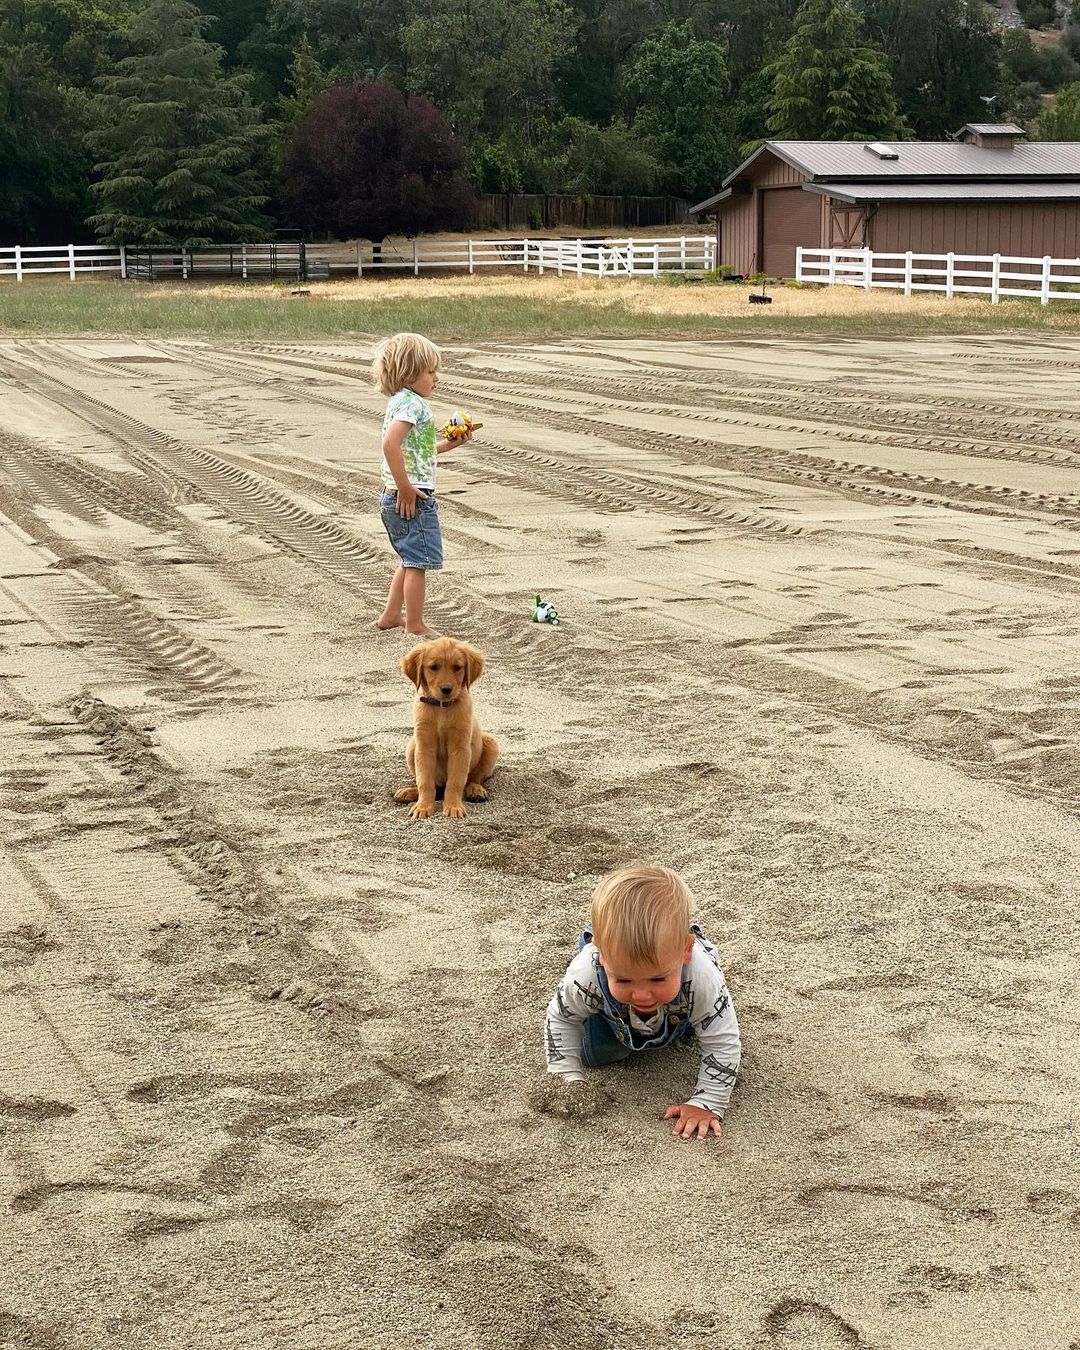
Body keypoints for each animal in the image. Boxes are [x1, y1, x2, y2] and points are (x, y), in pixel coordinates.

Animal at [394, 637, 499, 819]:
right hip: (412, 747)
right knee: (435, 787)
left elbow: (456, 782)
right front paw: (423, 806)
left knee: (473, 778)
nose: (446, 689)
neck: (442, 708)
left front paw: (453, 807)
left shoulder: (460, 748)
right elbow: (425, 781)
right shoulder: (424, 746)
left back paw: (475, 790)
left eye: (457, 667)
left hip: (491, 743)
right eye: (433, 667)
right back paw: (409, 793)